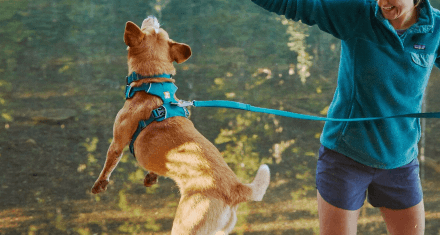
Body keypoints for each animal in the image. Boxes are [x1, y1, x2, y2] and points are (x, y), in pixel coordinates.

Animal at [91, 15, 270, 234]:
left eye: (149, 26)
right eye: (155, 27)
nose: (152, 16)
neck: (153, 84)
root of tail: (235, 189)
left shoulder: (117, 143)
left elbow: (108, 166)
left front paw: (99, 185)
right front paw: (151, 177)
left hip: (185, 225)